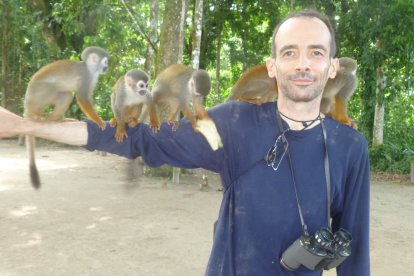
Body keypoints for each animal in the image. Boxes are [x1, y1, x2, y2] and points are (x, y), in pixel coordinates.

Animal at [23, 46, 109, 189]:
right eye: (105, 62)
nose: (107, 67)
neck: (89, 68)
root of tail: (27, 100)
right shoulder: (86, 77)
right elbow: (82, 98)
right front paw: (98, 120)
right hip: (37, 93)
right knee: (52, 88)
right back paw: (35, 112)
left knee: (66, 94)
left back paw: (57, 119)